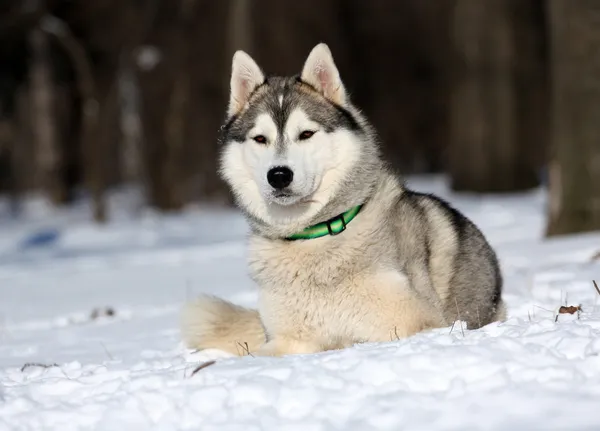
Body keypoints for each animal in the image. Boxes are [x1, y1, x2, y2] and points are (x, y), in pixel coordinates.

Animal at [179, 43, 506, 358]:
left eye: (306, 134)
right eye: (260, 139)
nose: (279, 175)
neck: (315, 237)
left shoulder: (419, 323)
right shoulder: (287, 340)